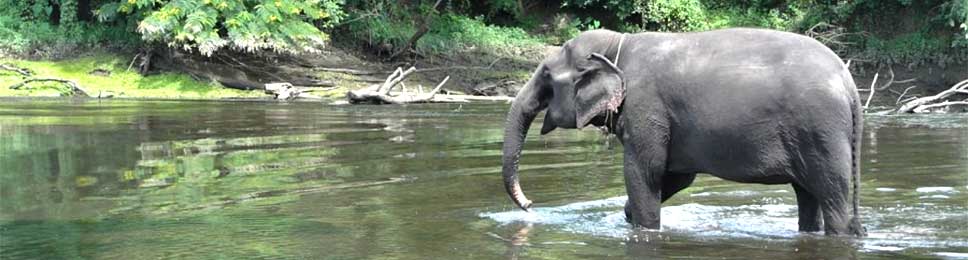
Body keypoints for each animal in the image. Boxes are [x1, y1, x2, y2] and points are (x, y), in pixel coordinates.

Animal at [502, 27, 864, 236]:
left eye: (546, 76)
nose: (531, 205)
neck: (620, 43)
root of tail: (850, 85)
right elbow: (676, 176)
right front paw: (628, 215)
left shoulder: (646, 105)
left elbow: (644, 172)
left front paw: (643, 227)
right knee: (807, 196)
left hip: (820, 130)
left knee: (830, 196)